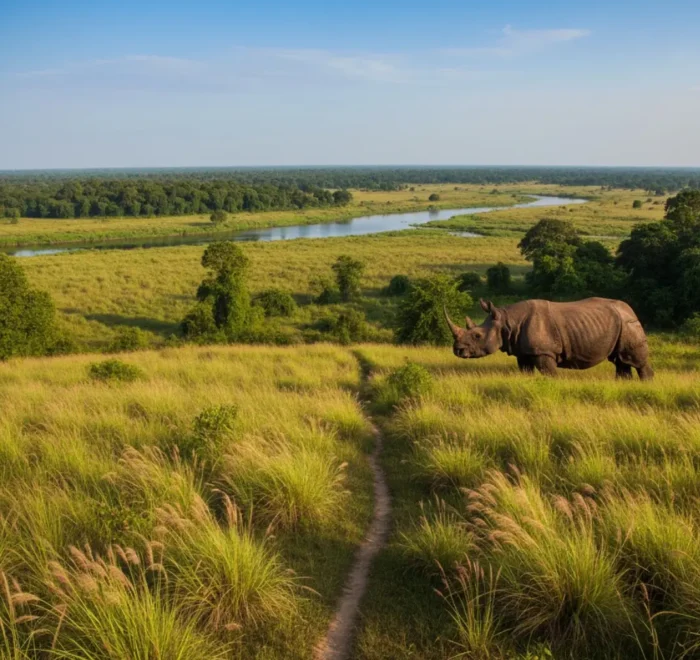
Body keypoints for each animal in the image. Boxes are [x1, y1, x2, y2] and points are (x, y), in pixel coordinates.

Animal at [444, 297, 653, 380]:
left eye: (477, 335)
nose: (457, 350)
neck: (506, 321)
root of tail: (631, 310)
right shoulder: (523, 352)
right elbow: (526, 371)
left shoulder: (544, 352)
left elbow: (549, 374)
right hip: (621, 324)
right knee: (621, 361)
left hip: (629, 325)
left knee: (636, 361)